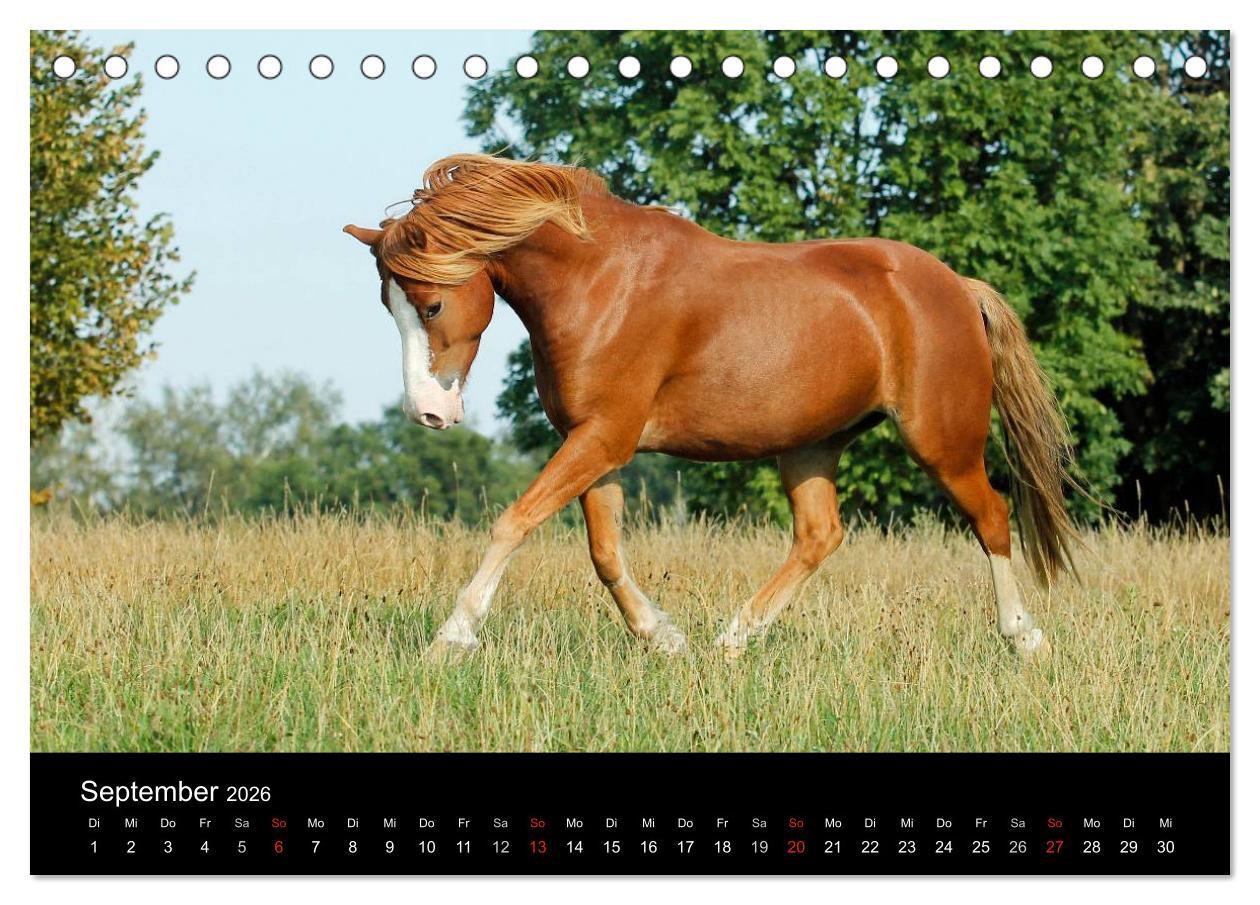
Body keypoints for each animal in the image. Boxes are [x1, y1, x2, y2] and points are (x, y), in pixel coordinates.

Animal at [344, 154, 1078, 660]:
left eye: (432, 304)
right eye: (386, 304)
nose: (428, 413)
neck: (599, 282)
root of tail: (956, 286)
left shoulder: (602, 437)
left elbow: (513, 523)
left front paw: (452, 636)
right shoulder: (597, 445)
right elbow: (605, 553)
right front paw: (662, 637)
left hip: (942, 443)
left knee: (992, 518)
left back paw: (1025, 638)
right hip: (810, 444)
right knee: (820, 534)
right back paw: (732, 640)